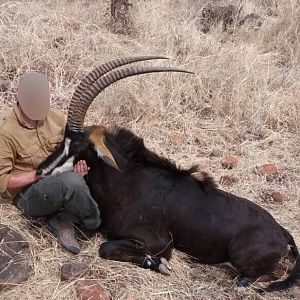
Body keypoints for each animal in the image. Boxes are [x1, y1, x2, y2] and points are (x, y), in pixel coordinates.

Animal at [38, 55, 300, 290]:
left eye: (77, 146)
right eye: (61, 140)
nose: (41, 170)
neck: (128, 183)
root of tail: (282, 233)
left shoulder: (159, 242)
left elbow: (106, 248)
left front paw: (160, 264)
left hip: (239, 256)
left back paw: (245, 282)